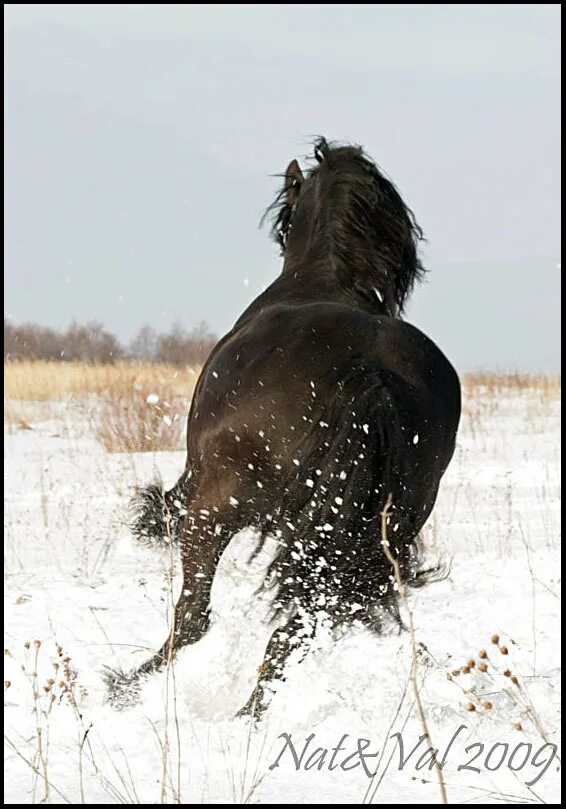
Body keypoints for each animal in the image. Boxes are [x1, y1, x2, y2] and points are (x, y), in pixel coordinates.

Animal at [106, 137, 462, 712]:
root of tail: (372, 372)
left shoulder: (198, 479)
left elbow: (167, 513)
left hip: (217, 507)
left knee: (196, 614)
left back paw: (126, 683)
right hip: (369, 534)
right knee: (299, 626)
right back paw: (250, 714)